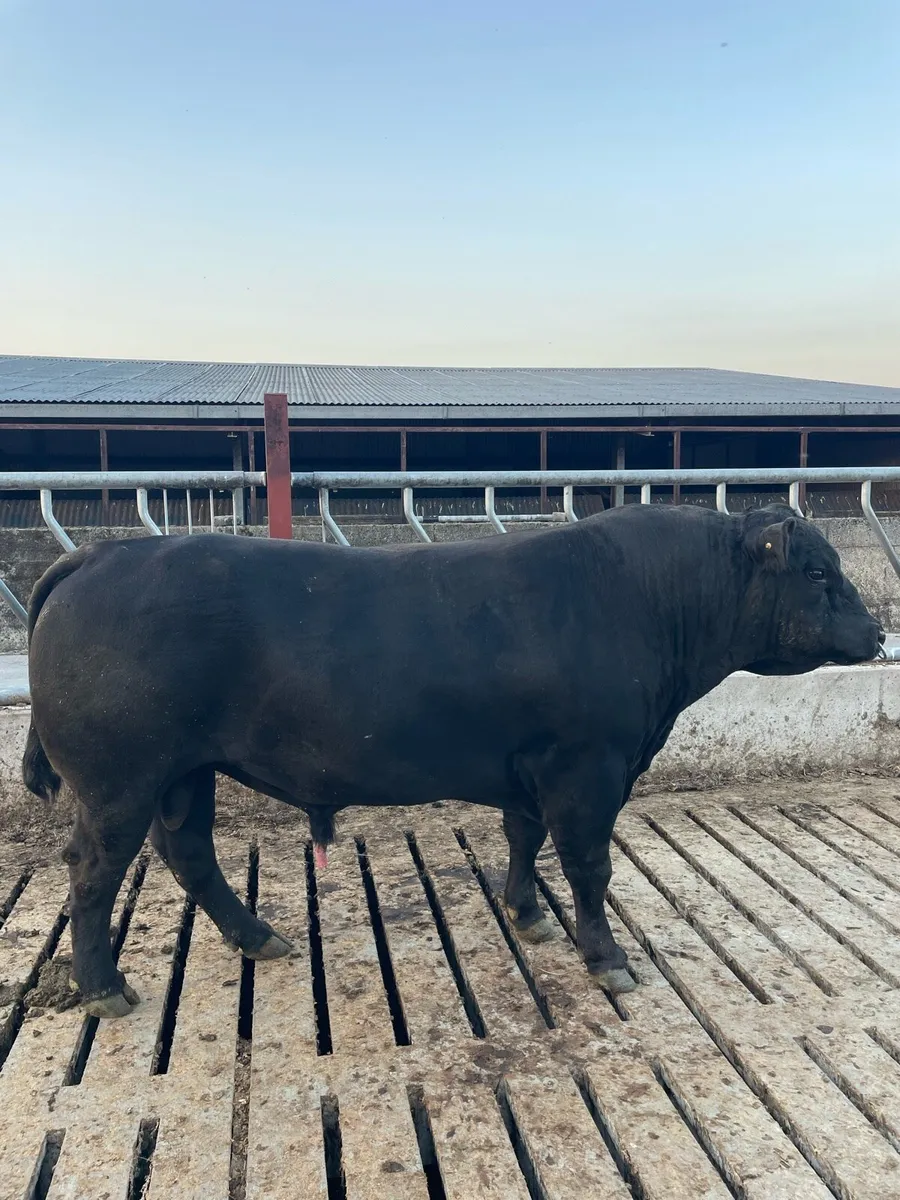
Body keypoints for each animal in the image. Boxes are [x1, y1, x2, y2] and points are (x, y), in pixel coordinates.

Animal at [22, 503, 882, 1018]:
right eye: (816, 571)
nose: (876, 634)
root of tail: (103, 554)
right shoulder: (590, 766)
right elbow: (588, 865)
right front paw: (605, 957)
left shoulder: (530, 766)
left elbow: (525, 839)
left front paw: (527, 915)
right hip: (118, 780)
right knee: (94, 872)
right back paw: (104, 987)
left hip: (182, 772)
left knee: (189, 852)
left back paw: (257, 936)